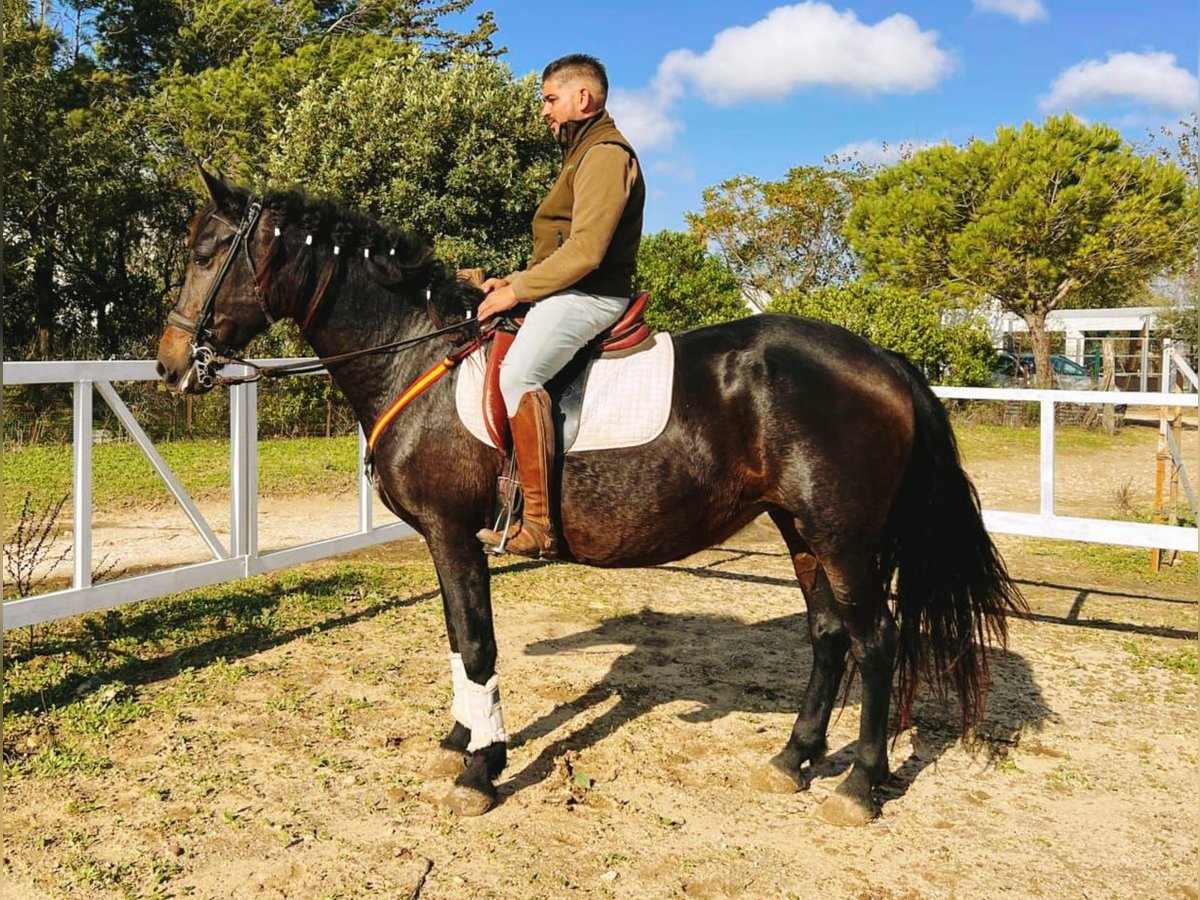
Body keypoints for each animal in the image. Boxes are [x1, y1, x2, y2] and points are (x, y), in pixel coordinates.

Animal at [154, 172, 1027, 830]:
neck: (418, 358)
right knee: (828, 637)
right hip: (802, 529)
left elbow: (477, 644)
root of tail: (881, 358)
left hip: (844, 536)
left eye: (205, 251)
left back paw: (858, 785)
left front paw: (482, 768)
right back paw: (792, 758)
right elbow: (456, 641)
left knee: (875, 642)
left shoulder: (452, 532)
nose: (167, 363)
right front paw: (461, 737)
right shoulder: (444, 538)